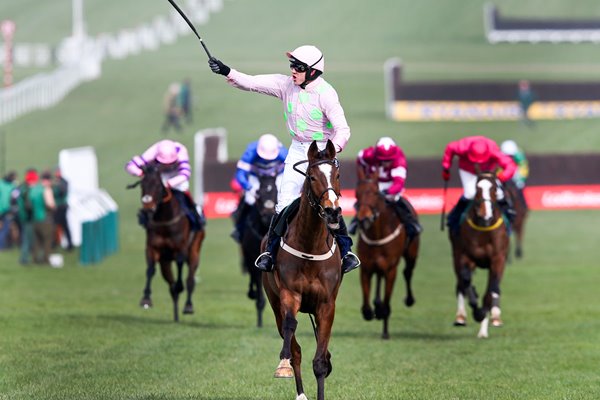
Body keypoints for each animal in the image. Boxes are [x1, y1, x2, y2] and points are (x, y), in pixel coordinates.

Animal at [125, 162, 205, 322]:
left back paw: (188, 305)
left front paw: (180, 288)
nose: (148, 208)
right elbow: (150, 269)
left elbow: (180, 266)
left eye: (157, 185)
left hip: (195, 251)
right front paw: (146, 299)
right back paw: (175, 312)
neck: (165, 221)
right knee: (170, 285)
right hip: (165, 263)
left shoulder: (180, 249)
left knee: (190, 279)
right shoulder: (152, 248)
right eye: (142, 184)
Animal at [262, 140, 342, 400]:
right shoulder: (290, 294)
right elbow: (291, 329)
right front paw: (283, 365)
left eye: (337, 175)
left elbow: (320, 360)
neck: (310, 244)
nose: (332, 211)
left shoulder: (326, 304)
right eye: (312, 176)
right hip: (273, 299)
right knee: (293, 344)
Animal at [354, 167, 420, 340]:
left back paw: (409, 300)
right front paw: (372, 311)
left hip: (411, 254)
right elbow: (366, 305)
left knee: (408, 272)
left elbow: (387, 303)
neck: (377, 235)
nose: (364, 219)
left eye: (375, 192)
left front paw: (385, 331)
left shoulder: (391, 269)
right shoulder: (366, 267)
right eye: (357, 192)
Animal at [448, 170, 508, 340]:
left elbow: (491, 289)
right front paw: (477, 310)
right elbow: (466, 281)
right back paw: (460, 317)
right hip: (456, 255)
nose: (485, 215)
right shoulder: (465, 257)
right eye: (477, 189)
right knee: (461, 284)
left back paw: (494, 318)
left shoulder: (498, 259)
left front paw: (483, 325)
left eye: (494, 188)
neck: (484, 230)